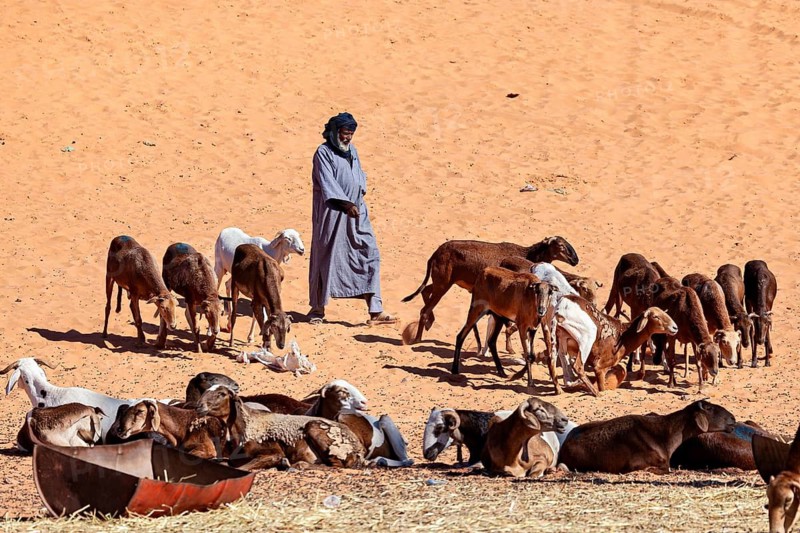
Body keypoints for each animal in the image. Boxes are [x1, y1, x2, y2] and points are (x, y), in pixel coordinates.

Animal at [197, 386, 365, 470]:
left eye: (221, 394)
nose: (199, 406)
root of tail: (359, 448)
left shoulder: (273, 453)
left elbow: (242, 468)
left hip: (320, 432)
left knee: (336, 466)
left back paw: (299, 465)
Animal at [403, 236, 578, 345]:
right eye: (561, 245)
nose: (575, 259)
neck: (528, 255)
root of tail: (435, 254)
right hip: (443, 283)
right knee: (425, 309)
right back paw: (417, 338)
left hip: (441, 281)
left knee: (425, 292)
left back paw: (428, 324)